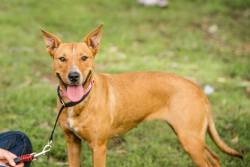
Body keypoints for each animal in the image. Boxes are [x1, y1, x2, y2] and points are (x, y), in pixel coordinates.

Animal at [41, 25, 242, 167]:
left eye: (84, 58)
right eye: (62, 59)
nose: (74, 76)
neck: (80, 102)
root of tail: (197, 88)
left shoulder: (99, 147)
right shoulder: (72, 143)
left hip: (190, 139)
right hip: (191, 138)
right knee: (215, 159)